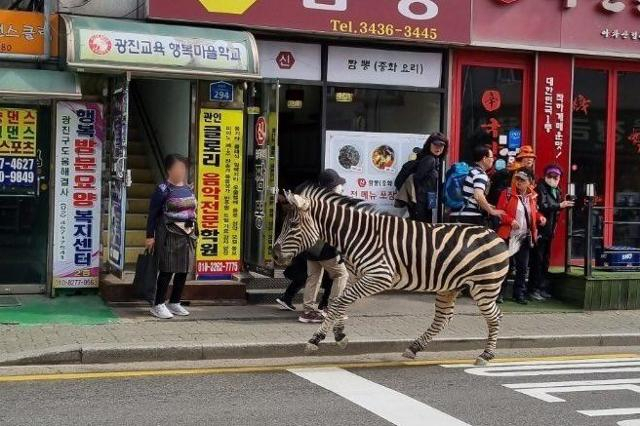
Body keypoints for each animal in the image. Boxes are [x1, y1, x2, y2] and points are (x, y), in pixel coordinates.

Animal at [272, 185, 512, 364]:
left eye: (293, 225)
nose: (274, 254)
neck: (357, 235)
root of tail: (494, 234)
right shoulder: (357, 276)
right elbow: (340, 301)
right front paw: (338, 334)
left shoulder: (380, 276)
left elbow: (339, 301)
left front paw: (318, 338)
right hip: (449, 286)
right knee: (443, 318)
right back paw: (414, 348)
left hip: (485, 286)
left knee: (495, 317)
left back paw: (486, 355)